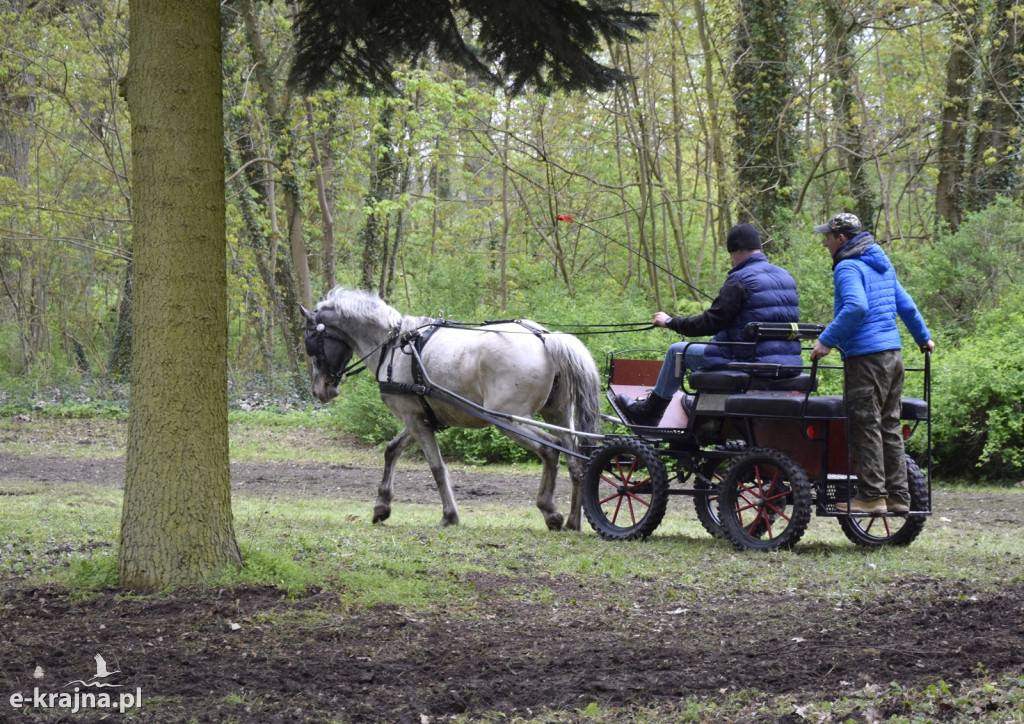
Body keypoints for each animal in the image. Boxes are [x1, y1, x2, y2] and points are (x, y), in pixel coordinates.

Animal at [299, 288, 598, 532]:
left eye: (311, 343)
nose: (319, 391)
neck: (394, 344)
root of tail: (543, 337)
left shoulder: (414, 419)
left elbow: (436, 466)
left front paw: (449, 516)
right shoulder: (419, 417)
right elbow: (392, 450)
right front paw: (382, 506)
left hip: (509, 419)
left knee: (550, 449)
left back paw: (550, 511)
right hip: (557, 415)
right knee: (576, 462)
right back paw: (573, 522)